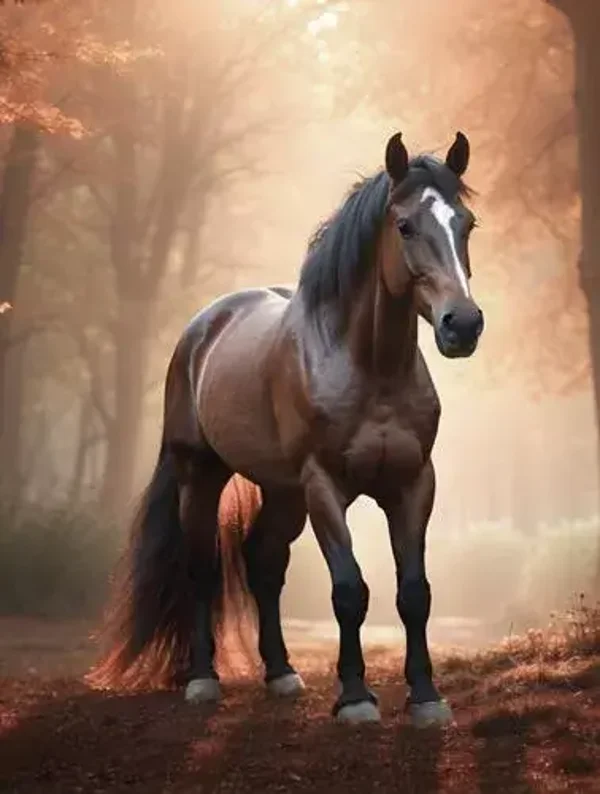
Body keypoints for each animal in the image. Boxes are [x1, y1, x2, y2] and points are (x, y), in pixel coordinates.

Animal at [90, 130, 484, 727]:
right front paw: (355, 698)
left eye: (467, 224)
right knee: (202, 567)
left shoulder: (414, 483)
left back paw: (279, 672)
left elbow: (414, 592)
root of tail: (201, 329)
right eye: (405, 226)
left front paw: (426, 697)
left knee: (263, 562)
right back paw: (203, 679)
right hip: (201, 476)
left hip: (282, 493)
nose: (462, 325)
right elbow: (349, 590)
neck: (370, 367)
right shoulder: (325, 487)